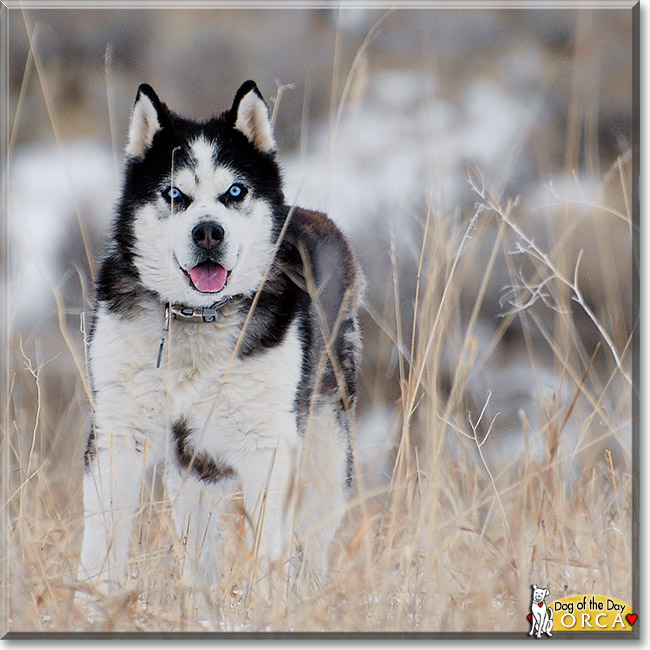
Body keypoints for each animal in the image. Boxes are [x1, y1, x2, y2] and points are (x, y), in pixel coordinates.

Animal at [79, 81, 362, 592]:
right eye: (175, 194)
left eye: (235, 191)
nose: (208, 232)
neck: (197, 319)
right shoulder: (119, 431)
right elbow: (101, 543)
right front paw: (92, 601)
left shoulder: (270, 446)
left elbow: (270, 549)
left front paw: (268, 603)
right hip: (194, 472)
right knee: (199, 550)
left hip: (326, 455)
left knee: (312, 544)